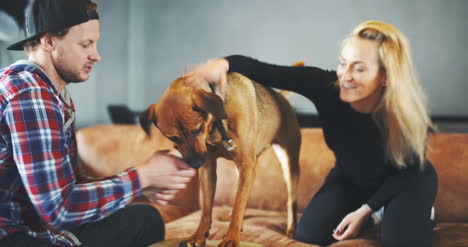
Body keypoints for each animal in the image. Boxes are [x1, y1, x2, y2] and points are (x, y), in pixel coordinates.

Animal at [140, 65, 300, 245]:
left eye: (197, 129)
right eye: (173, 138)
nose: (195, 164)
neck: (217, 125)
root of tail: (279, 97)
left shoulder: (246, 165)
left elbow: (238, 205)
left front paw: (231, 238)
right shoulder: (210, 168)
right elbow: (207, 209)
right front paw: (199, 234)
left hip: (288, 164)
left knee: (290, 200)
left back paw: (291, 228)